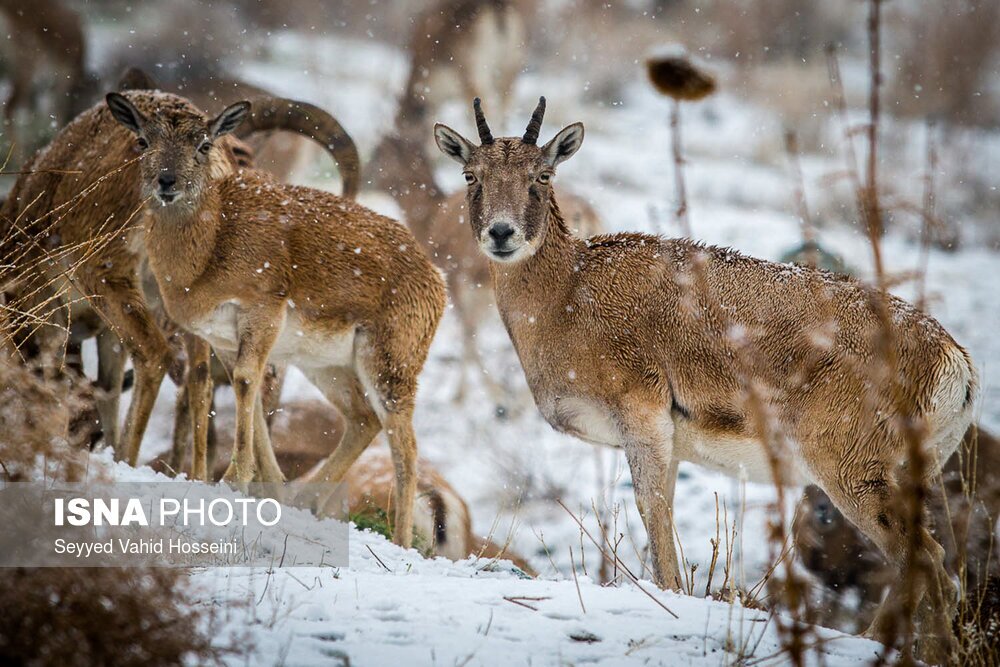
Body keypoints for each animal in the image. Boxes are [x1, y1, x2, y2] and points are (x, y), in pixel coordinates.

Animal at [436, 96, 976, 660]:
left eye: (542, 174)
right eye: (471, 174)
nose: (501, 233)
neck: (569, 294)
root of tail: (953, 366)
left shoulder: (642, 417)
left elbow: (654, 514)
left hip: (853, 474)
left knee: (927, 561)